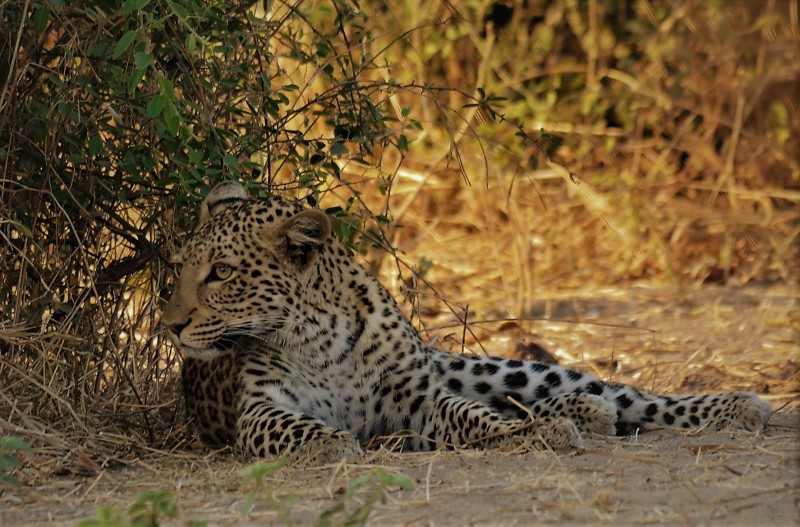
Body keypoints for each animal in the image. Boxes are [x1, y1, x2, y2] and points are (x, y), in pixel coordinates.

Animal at [162, 181, 772, 463]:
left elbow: (476, 418)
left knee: (623, 396)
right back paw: (582, 414)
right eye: (179, 267)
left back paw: (734, 406)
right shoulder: (259, 409)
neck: (318, 337)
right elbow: (299, 426)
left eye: (220, 273)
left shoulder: (417, 396)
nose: (170, 326)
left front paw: (533, 434)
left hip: (493, 368)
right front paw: (333, 444)